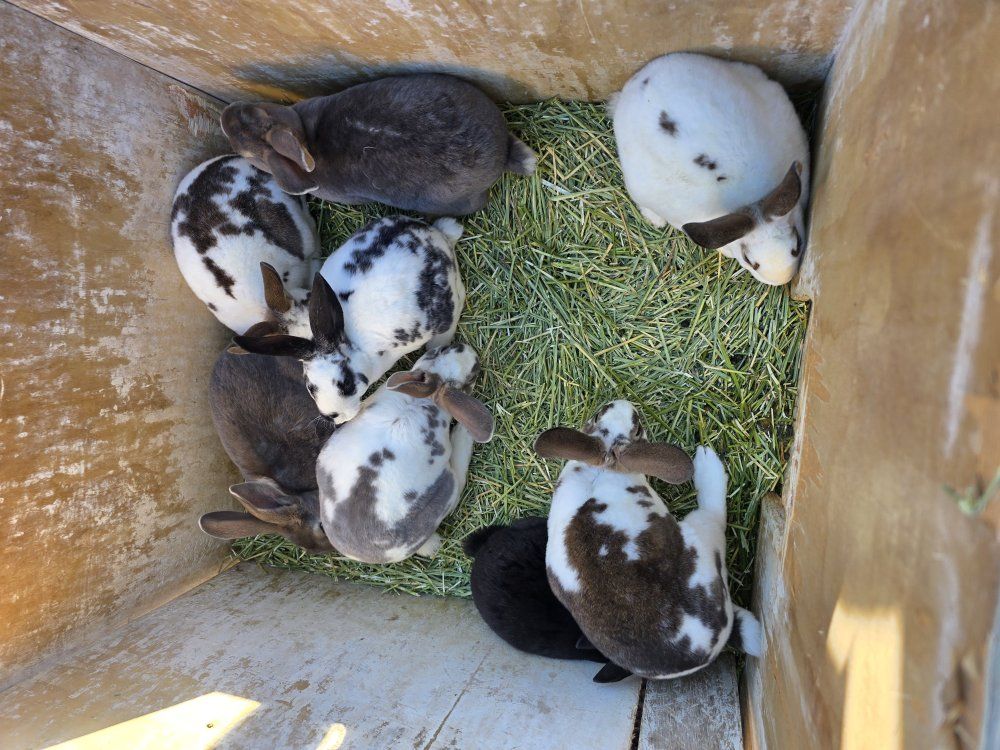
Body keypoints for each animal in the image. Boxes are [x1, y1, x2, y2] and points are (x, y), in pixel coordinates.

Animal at [534, 400, 763, 682]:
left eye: (597, 415)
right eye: (638, 428)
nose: (623, 403)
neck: (602, 469)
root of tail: (707, 651)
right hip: (701, 534)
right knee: (715, 514)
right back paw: (707, 462)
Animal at [610, 53, 810, 285]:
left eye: (797, 244)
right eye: (749, 260)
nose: (781, 279)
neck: (752, 201)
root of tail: (635, 83)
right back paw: (656, 221)